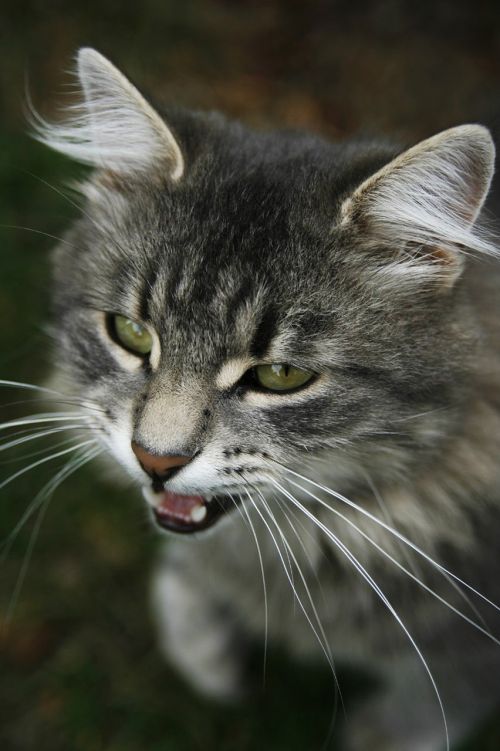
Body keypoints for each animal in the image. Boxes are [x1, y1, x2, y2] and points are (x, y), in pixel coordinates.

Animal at [22, 50, 500, 748]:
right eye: (131, 333)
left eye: (280, 375)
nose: (154, 459)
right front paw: (204, 643)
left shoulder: (469, 657)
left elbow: (426, 704)